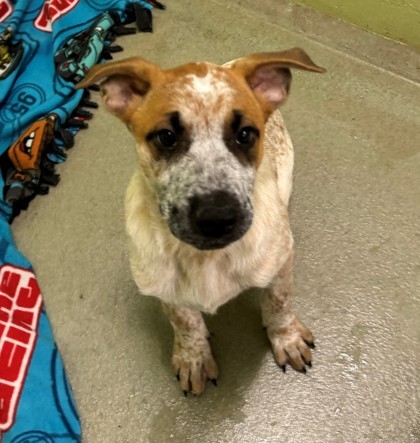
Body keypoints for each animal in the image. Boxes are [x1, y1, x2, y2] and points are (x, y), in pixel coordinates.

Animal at [78, 47, 324, 396]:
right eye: (166, 137)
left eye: (245, 134)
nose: (217, 217)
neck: (205, 258)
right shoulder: (160, 284)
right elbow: (184, 320)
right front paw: (193, 357)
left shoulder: (281, 262)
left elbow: (278, 302)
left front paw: (285, 338)